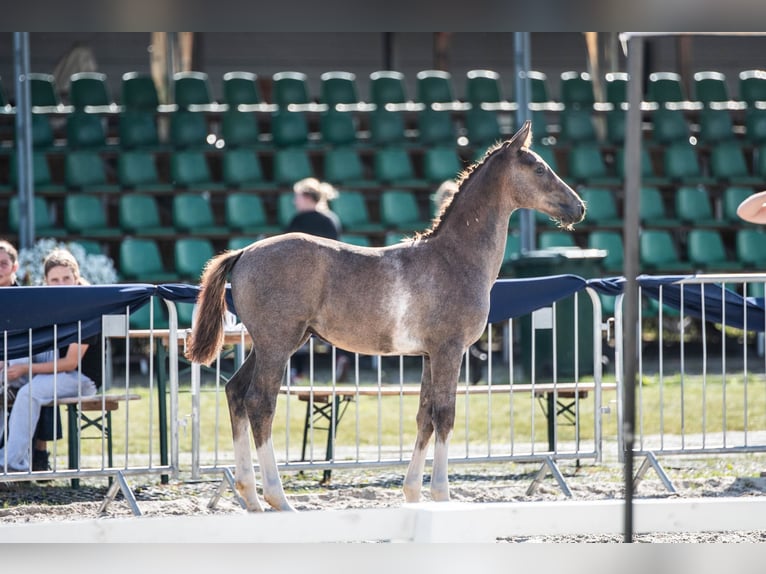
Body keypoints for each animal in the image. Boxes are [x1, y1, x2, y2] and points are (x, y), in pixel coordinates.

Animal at [186, 121, 585, 512]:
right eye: (539, 168)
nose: (578, 208)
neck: (454, 258)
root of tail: (244, 253)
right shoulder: (449, 351)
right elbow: (445, 414)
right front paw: (442, 494)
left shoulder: (428, 356)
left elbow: (424, 417)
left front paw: (413, 493)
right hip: (278, 346)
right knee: (259, 403)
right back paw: (278, 498)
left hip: (272, 344)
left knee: (235, 392)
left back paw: (251, 497)